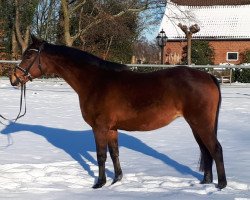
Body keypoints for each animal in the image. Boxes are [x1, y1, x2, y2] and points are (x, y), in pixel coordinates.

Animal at [10, 35, 227, 189]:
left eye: (29, 55)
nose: (14, 79)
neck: (95, 81)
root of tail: (208, 76)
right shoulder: (112, 129)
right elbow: (114, 153)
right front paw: (117, 180)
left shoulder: (99, 128)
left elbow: (101, 155)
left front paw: (99, 183)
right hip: (196, 125)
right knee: (206, 151)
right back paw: (205, 183)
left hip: (200, 123)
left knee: (215, 149)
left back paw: (221, 185)